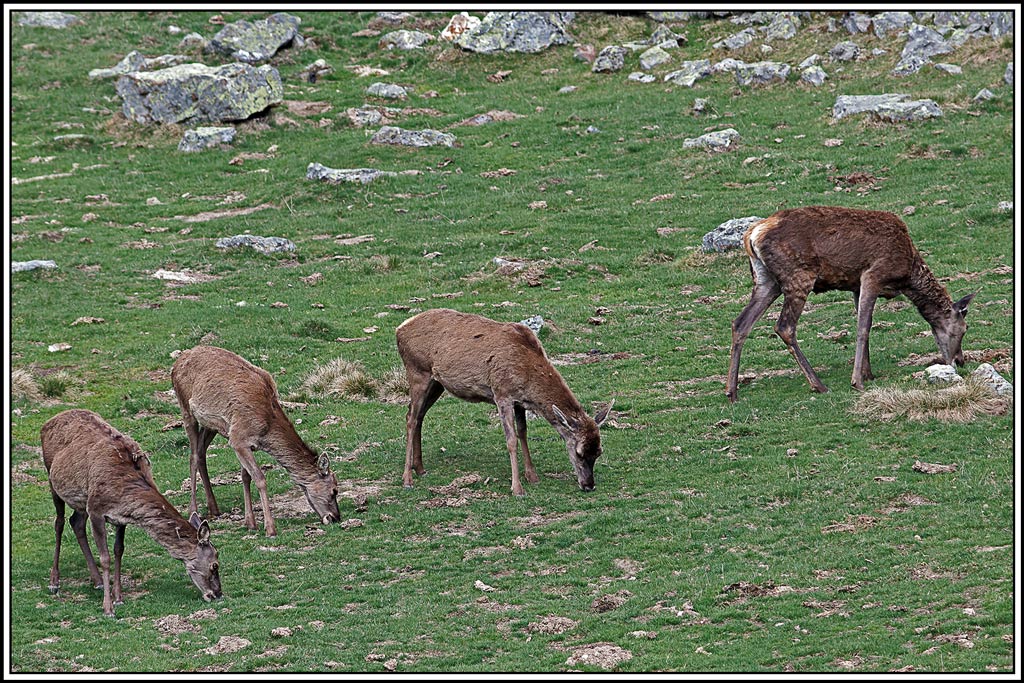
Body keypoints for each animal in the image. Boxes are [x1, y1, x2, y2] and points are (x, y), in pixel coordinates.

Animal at [41, 409, 222, 617]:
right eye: (214, 565)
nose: (218, 594)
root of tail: (46, 424)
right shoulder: (96, 509)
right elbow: (105, 558)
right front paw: (108, 608)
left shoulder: (120, 517)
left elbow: (119, 550)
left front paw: (118, 597)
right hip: (52, 479)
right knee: (59, 523)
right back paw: (54, 582)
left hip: (82, 500)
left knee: (76, 522)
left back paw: (97, 581)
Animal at [171, 345, 340, 537]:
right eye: (334, 491)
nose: (335, 517)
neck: (266, 426)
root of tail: (176, 364)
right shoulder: (238, 438)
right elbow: (259, 478)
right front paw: (270, 528)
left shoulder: (241, 440)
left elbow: (246, 476)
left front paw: (250, 522)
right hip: (185, 407)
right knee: (193, 456)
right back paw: (194, 512)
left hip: (211, 425)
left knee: (200, 453)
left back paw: (214, 508)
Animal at [395, 308, 613, 496]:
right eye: (579, 453)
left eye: (599, 452)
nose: (589, 485)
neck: (528, 371)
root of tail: (400, 328)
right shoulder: (502, 393)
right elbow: (511, 441)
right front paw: (517, 488)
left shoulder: (519, 402)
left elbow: (523, 433)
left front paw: (532, 476)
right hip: (418, 371)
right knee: (410, 418)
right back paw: (407, 479)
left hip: (437, 383)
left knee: (418, 415)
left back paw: (420, 468)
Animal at [726, 205, 976, 402]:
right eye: (963, 329)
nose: (960, 360)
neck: (907, 276)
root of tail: (751, 235)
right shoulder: (872, 275)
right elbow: (863, 328)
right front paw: (857, 381)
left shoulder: (856, 285)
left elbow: (865, 324)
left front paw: (868, 373)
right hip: (798, 276)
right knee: (784, 327)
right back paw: (818, 384)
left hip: (766, 281)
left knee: (741, 322)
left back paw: (732, 391)